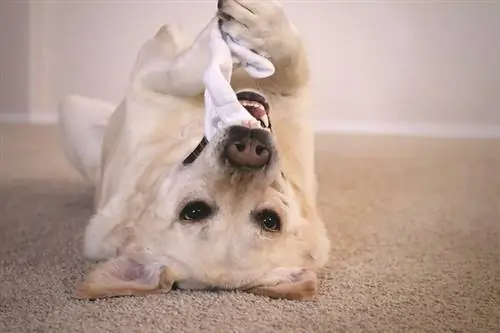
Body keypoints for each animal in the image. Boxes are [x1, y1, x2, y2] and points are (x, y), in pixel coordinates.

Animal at [58, 0, 330, 300]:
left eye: (269, 220)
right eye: (195, 211)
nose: (247, 149)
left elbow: (289, 68)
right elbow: (179, 72)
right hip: (73, 113)